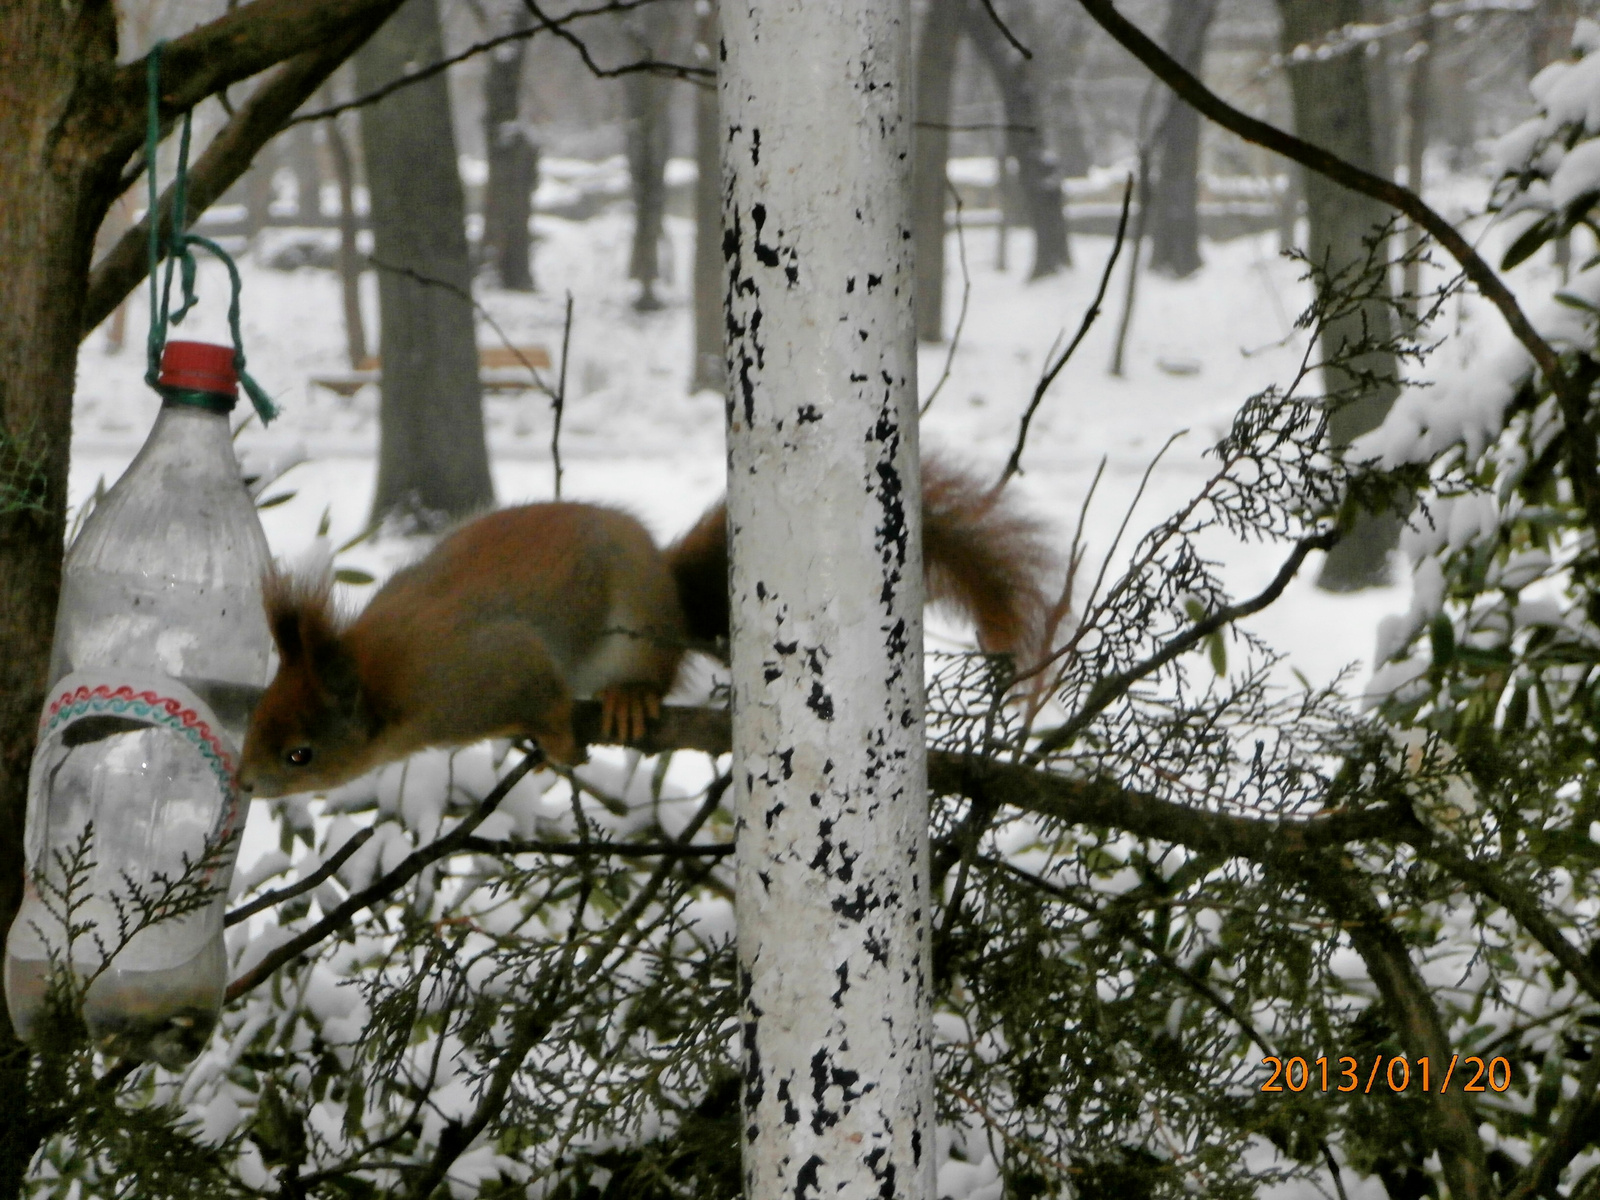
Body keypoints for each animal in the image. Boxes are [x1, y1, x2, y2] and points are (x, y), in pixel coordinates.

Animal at [236, 460, 1056, 800]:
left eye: (301, 753)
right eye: (256, 719)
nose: (243, 782)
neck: (384, 672)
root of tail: (667, 583)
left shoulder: (491, 666)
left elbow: (540, 689)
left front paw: (555, 736)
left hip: (638, 627)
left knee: (652, 674)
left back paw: (627, 699)